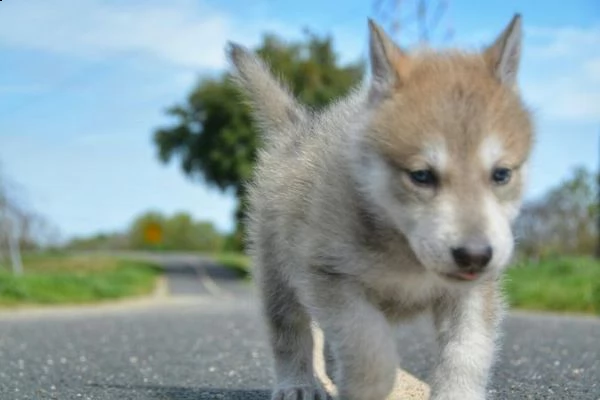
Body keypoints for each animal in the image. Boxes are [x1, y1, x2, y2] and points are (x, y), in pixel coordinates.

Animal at [226, 12, 536, 400]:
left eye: (501, 174)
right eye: (421, 175)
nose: (475, 255)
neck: (404, 251)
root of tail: (300, 133)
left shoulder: (473, 295)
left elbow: (467, 352)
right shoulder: (328, 276)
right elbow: (369, 348)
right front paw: (368, 386)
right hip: (276, 275)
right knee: (290, 333)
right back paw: (297, 384)